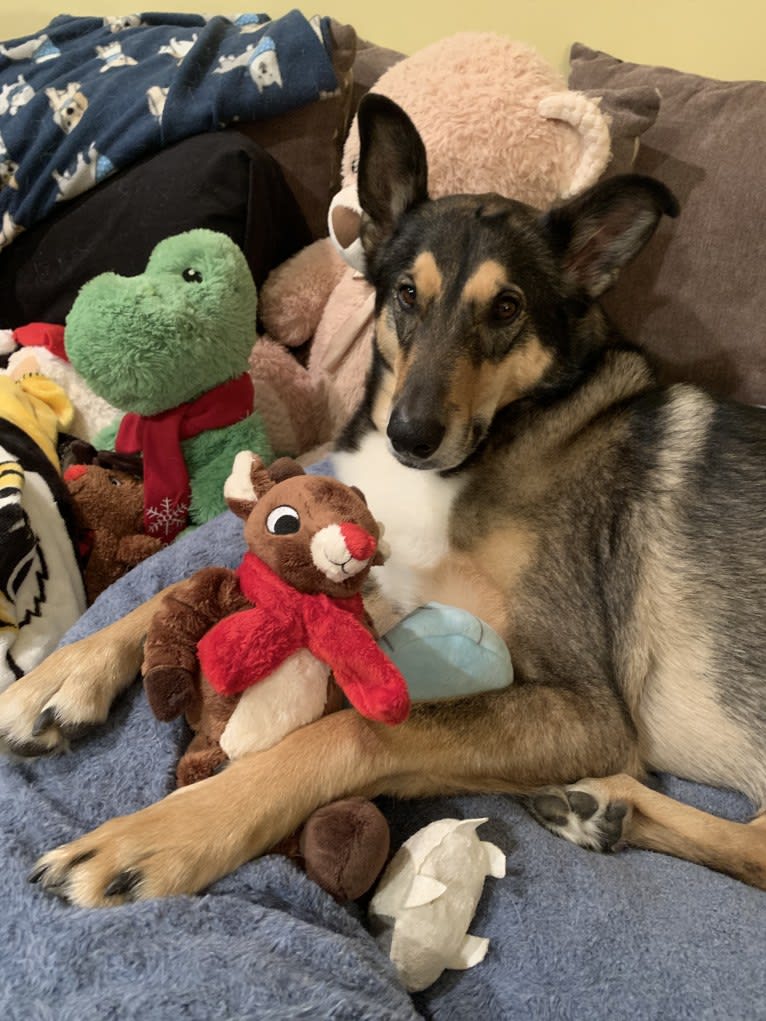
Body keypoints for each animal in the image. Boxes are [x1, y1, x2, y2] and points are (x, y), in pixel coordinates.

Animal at [1, 93, 766, 910]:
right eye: (405, 294)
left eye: (507, 309)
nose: (410, 435)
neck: (504, 434)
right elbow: (195, 583)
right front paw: (59, 679)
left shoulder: (587, 706)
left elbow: (360, 730)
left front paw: (157, 837)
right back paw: (597, 806)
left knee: (754, 848)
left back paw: (601, 804)